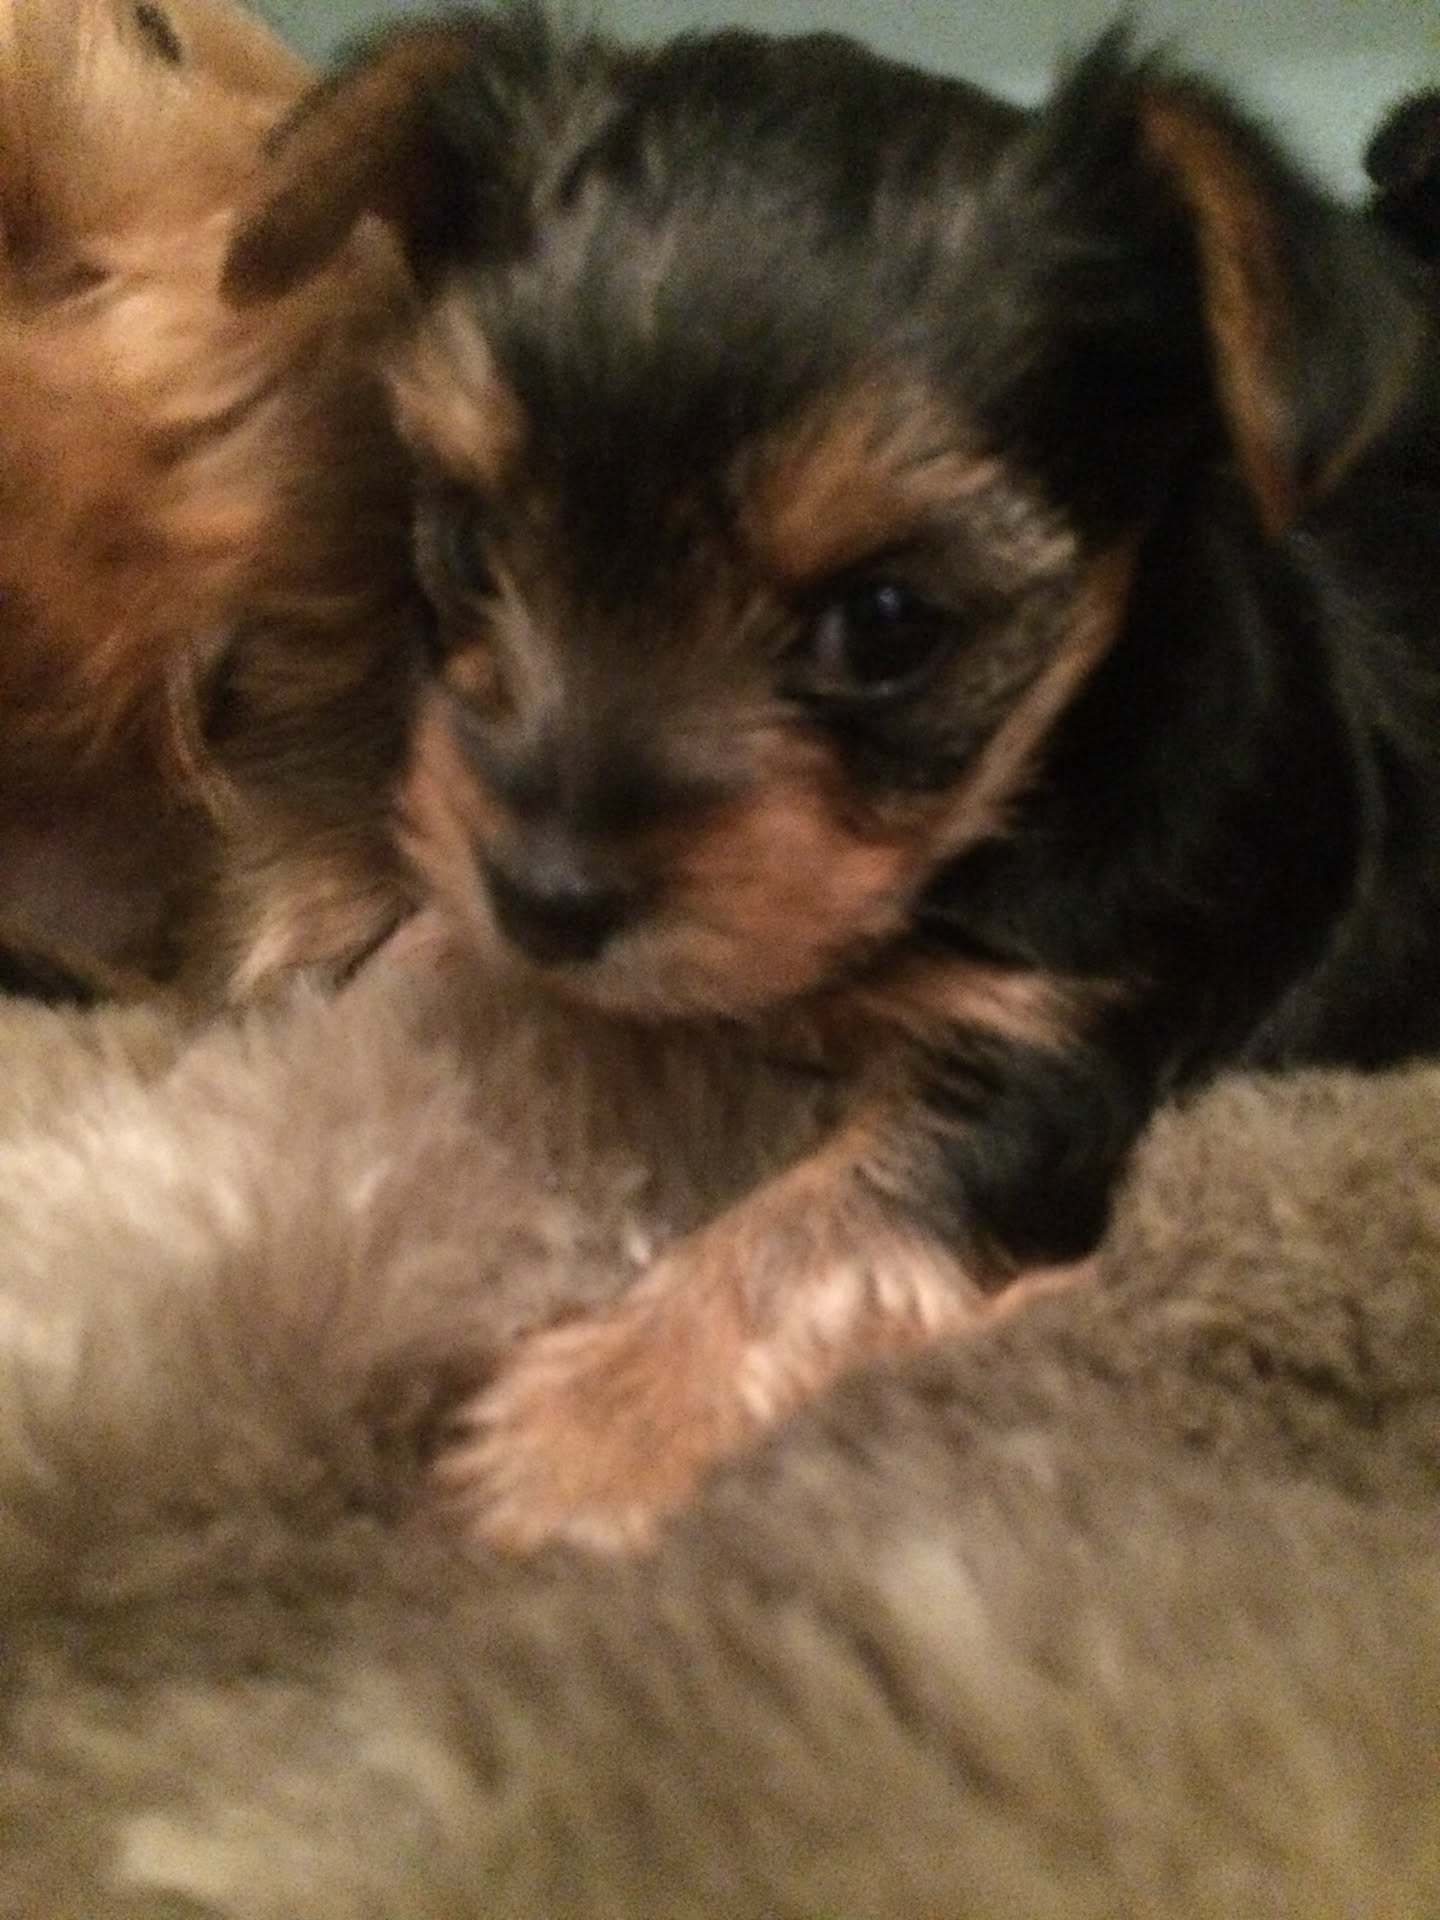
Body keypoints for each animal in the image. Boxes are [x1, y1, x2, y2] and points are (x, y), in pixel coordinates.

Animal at [221, 9, 1440, 1547]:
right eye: (468, 537)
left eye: (890, 623)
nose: (547, 899)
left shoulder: (1052, 1056)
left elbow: (830, 1220)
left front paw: (579, 1432)